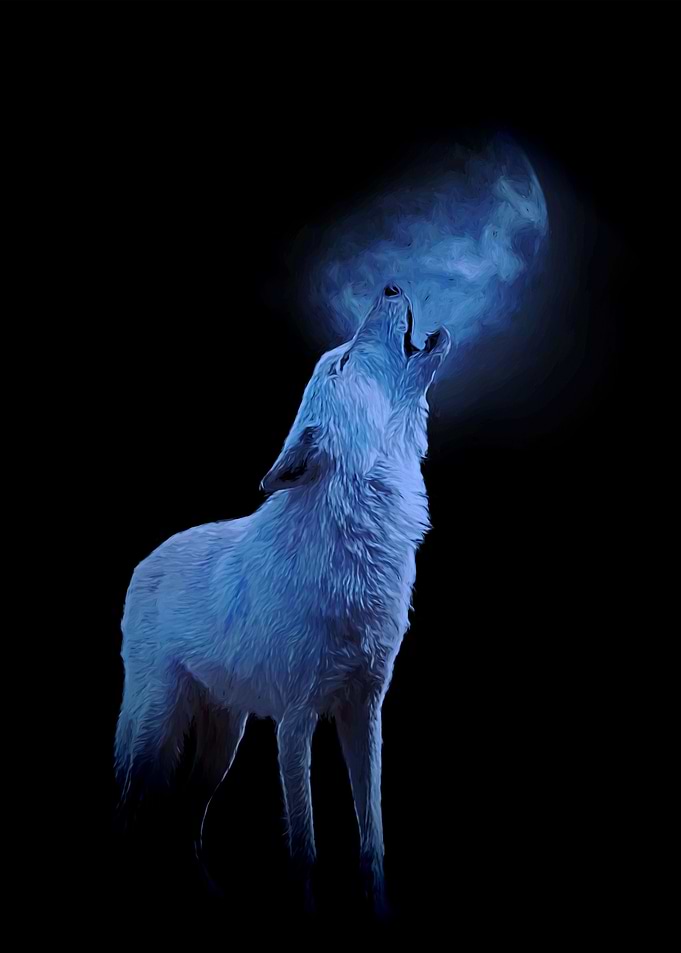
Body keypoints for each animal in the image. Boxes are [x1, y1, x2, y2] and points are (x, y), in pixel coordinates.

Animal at [115, 284, 451, 915]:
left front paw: (379, 909)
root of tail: (149, 557)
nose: (391, 286)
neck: (360, 538)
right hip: (156, 729)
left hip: (224, 742)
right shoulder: (295, 723)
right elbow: (305, 849)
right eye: (342, 361)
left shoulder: (365, 710)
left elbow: (373, 841)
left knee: (186, 821)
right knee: (131, 803)